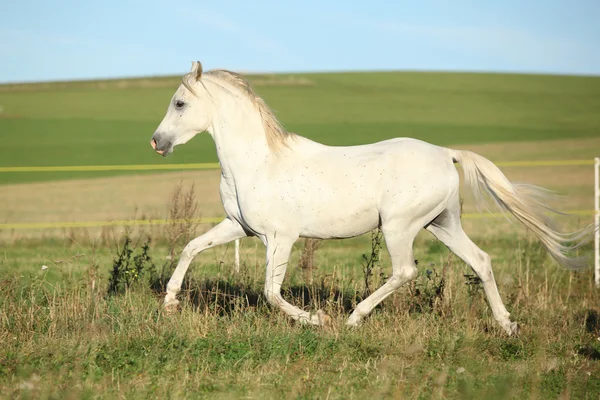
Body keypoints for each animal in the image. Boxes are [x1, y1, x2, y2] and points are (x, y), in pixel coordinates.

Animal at [150, 61, 592, 334]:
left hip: (400, 227)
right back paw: (507, 325)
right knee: (481, 261)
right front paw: (170, 303)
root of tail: (445, 152)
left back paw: (353, 318)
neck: (258, 161)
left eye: (180, 103)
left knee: (405, 271)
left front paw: (318, 320)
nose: (157, 142)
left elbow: (272, 293)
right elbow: (191, 248)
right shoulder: (238, 227)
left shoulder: (281, 238)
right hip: (442, 224)